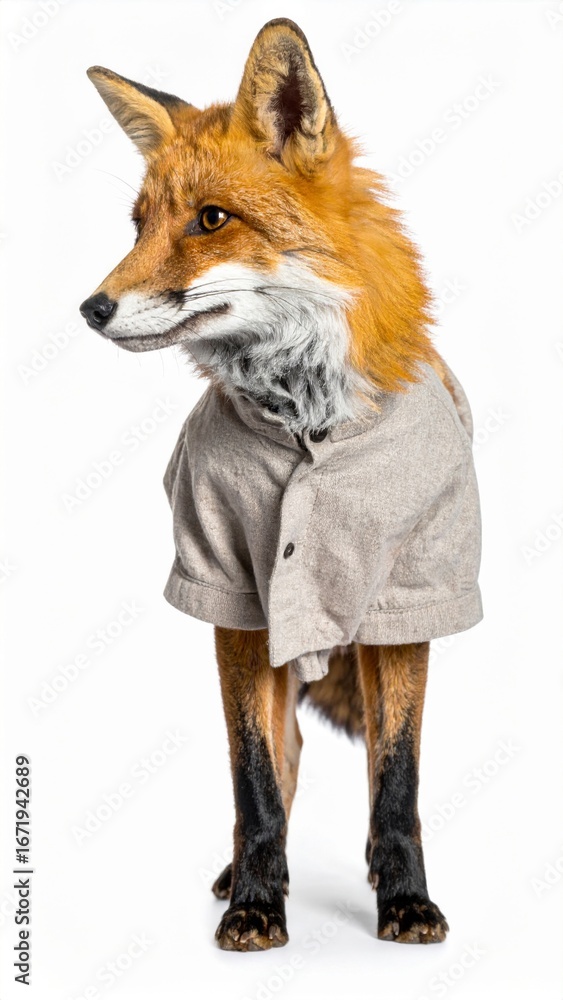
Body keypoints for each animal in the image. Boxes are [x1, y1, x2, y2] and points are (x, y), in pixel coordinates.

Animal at [80, 18, 482, 951]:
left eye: (210, 220)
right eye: (137, 224)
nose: (91, 308)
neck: (306, 410)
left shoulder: (411, 592)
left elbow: (397, 782)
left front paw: (405, 900)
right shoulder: (230, 591)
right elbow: (256, 779)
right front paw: (257, 904)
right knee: (281, 761)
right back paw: (244, 876)